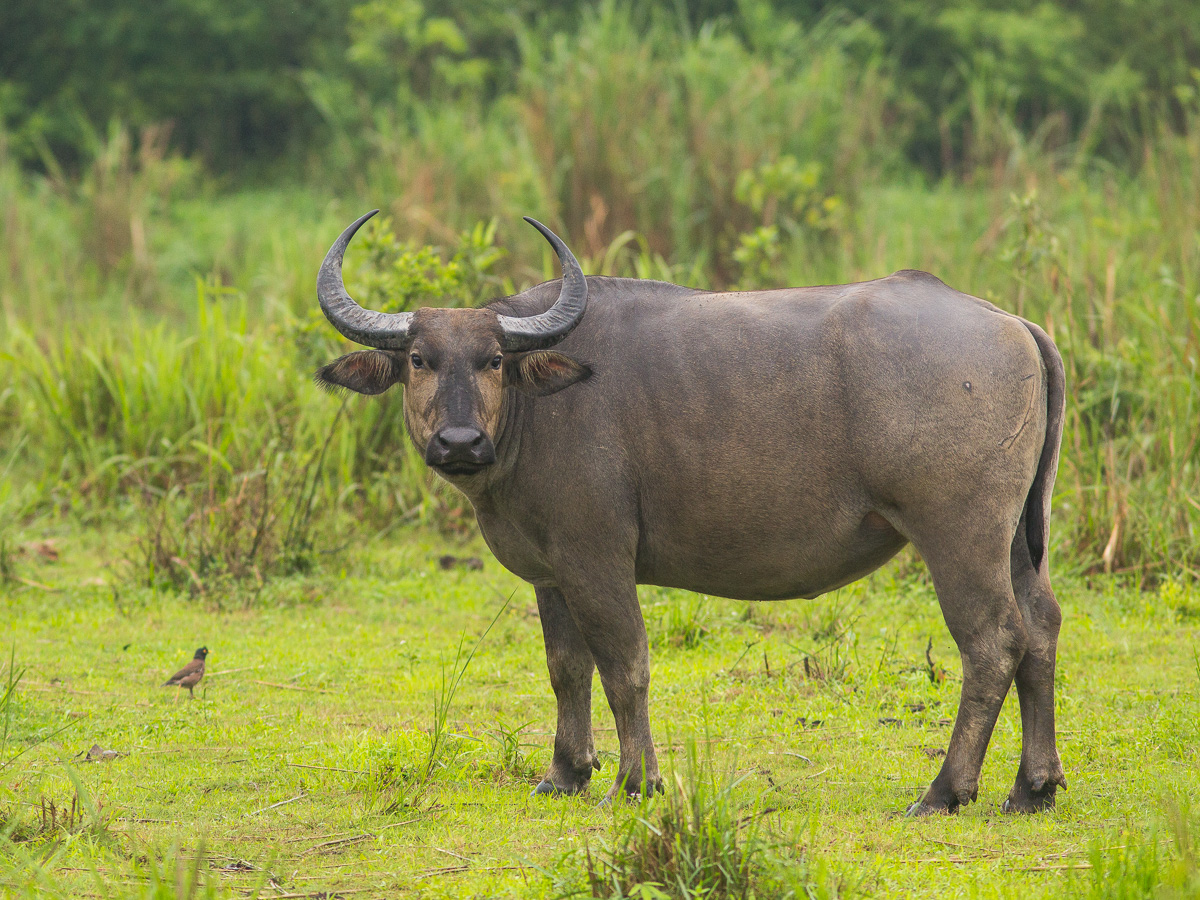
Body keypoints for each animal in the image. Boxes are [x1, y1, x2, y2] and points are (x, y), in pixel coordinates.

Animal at [314, 211, 1065, 816]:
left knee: (993, 642)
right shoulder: (551, 575)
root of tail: (1011, 322)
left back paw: (945, 790)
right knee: (1041, 630)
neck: (537, 409)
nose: (460, 442)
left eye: (494, 360)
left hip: (960, 537)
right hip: (1018, 544)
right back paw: (1032, 787)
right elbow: (566, 670)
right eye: (419, 359)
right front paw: (565, 773)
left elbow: (624, 667)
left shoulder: (598, 562)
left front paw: (634, 781)